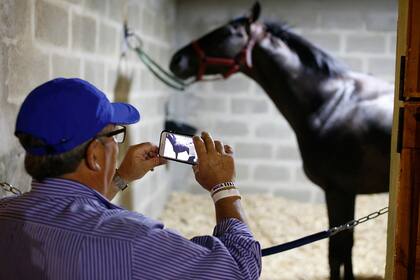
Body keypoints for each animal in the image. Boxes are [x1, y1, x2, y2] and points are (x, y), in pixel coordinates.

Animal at [169, 2, 392, 280]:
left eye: (227, 33)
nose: (177, 60)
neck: (331, 104)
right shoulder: (344, 193)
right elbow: (344, 246)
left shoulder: (339, 191)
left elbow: (338, 249)